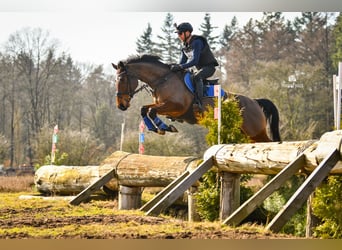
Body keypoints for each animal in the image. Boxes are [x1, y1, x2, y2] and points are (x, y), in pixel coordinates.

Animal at [112, 54, 280, 143]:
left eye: (122, 80)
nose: (121, 105)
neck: (163, 79)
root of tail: (255, 102)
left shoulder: (176, 107)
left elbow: (151, 111)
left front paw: (164, 127)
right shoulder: (163, 106)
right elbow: (144, 109)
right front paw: (157, 128)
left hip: (255, 132)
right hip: (247, 134)